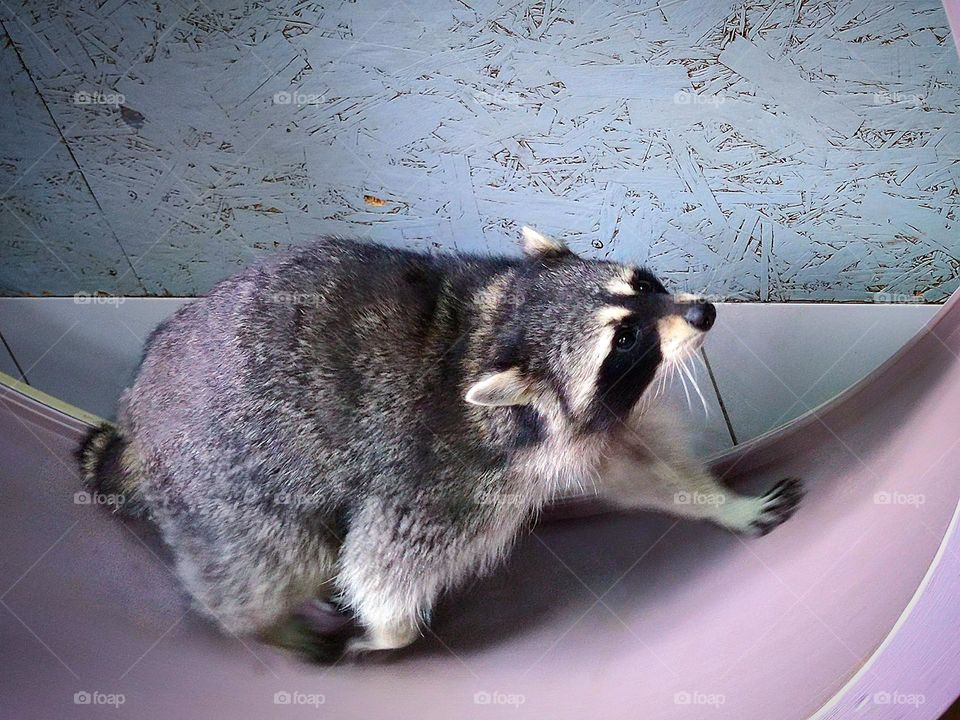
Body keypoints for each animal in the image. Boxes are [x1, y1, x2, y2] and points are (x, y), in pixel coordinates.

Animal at [78, 227, 802, 662]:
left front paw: (720, 503)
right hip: (225, 484)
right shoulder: (439, 475)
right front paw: (388, 634)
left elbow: (638, 468)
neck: (499, 326)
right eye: (625, 339)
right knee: (274, 562)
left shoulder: (578, 431)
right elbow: (382, 561)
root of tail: (137, 416)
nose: (703, 312)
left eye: (644, 286)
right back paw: (264, 624)